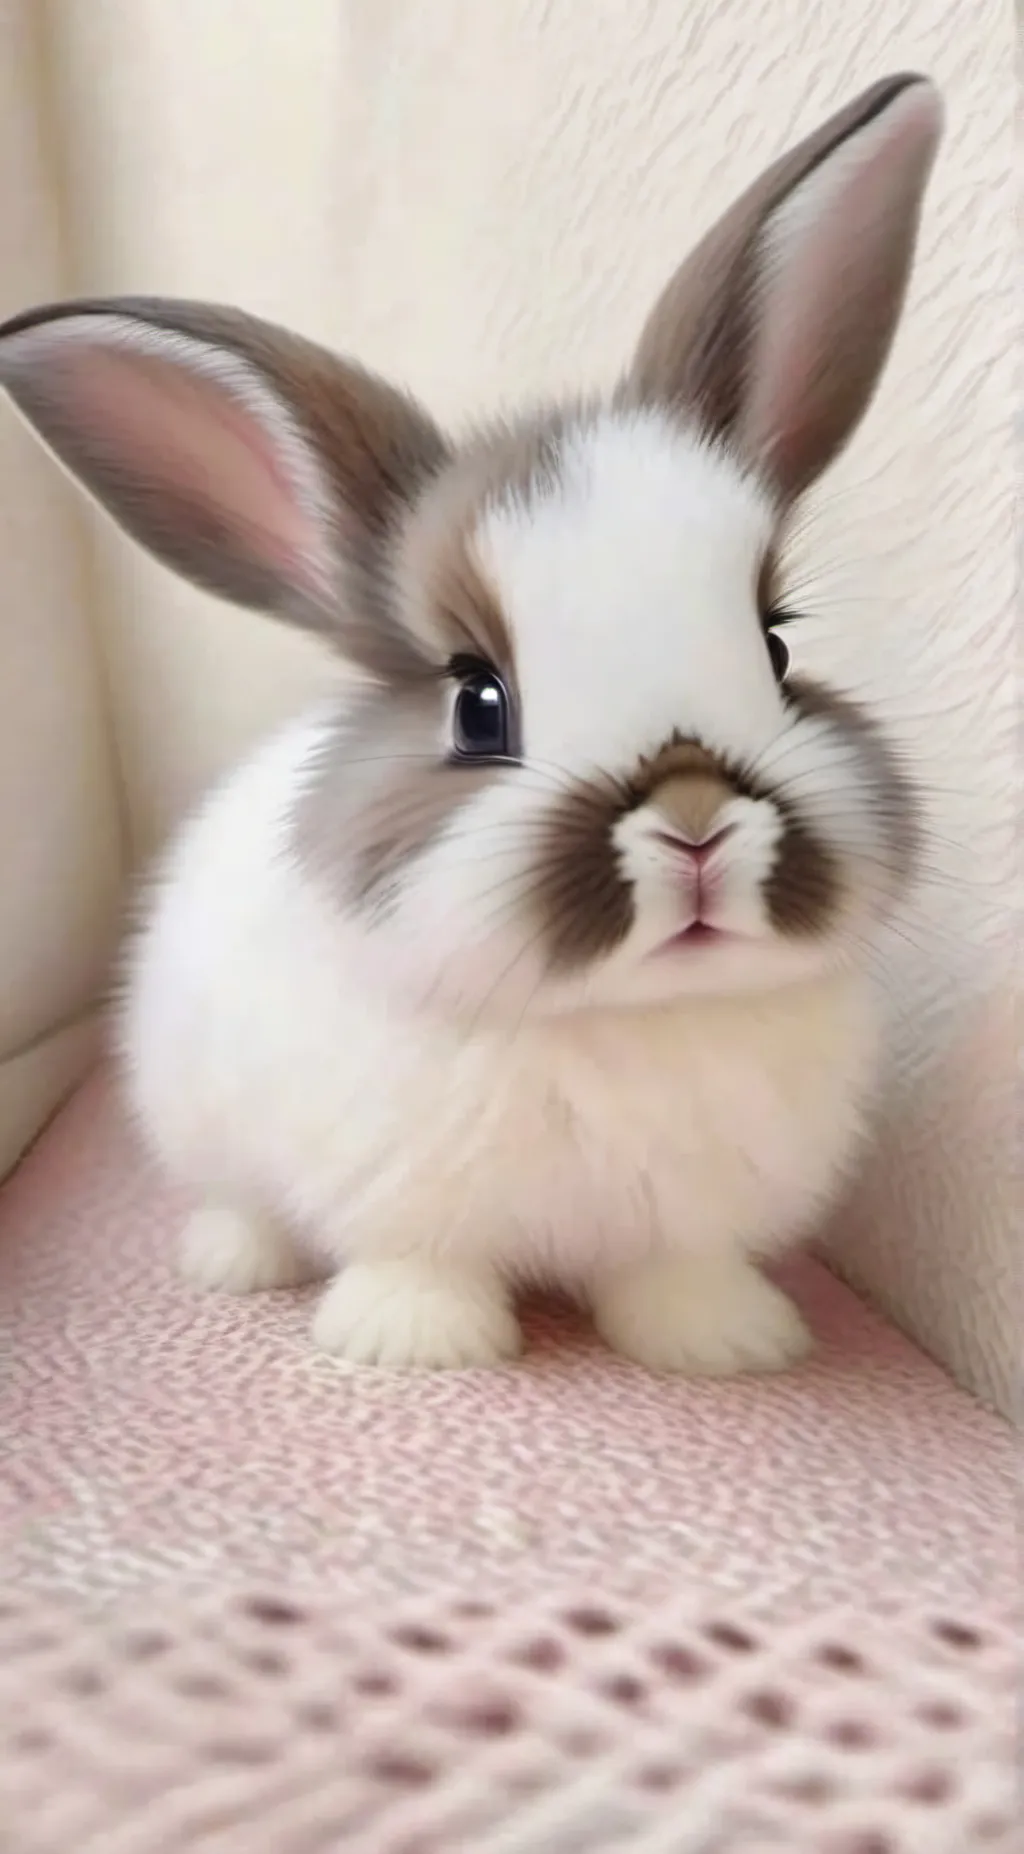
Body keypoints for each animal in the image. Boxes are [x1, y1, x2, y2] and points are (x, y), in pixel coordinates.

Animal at [0, 75, 942, 1373]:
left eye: (777, 647)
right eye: (475, 703)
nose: (695, 819)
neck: (621, 1022)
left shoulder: (686, 1222)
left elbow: (677, 1276)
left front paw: (726, 1344)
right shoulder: (397, 1198)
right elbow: (417, 1265)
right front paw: (412, 1344)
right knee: (238, 1202)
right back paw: (235, 1262)